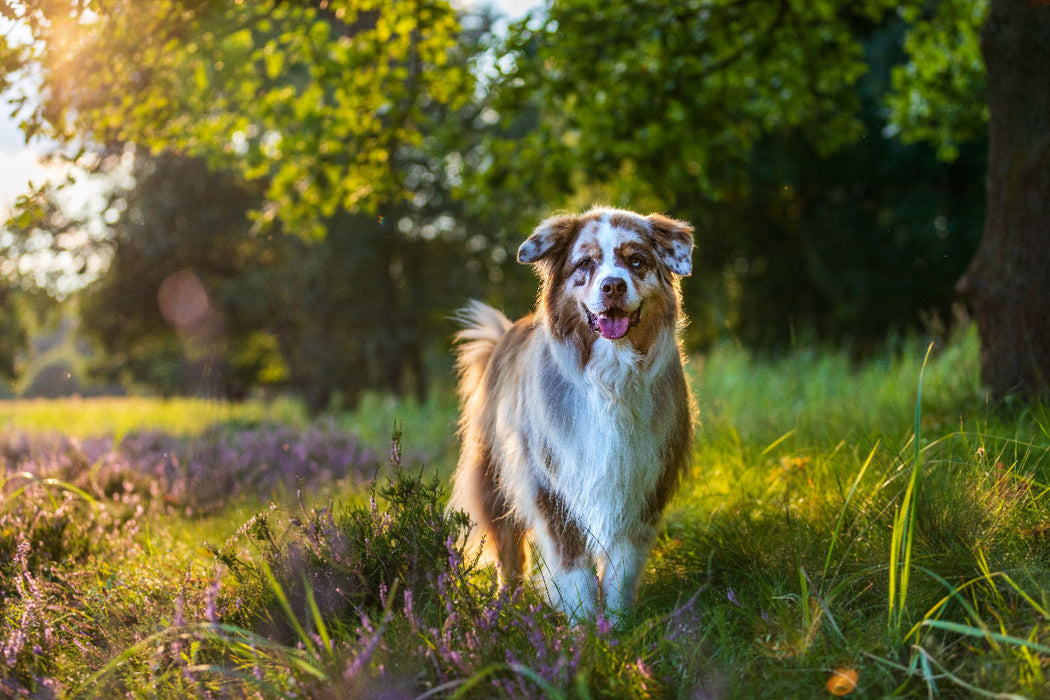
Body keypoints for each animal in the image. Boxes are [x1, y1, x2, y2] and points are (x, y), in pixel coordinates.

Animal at [447, 207, 692, 625]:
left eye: (636, 261)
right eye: (585, 264)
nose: (612, 286)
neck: (610, 380)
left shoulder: (643, 481)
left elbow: (622, 567)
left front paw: (617, 624)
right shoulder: (550, 484)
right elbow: (573, 566)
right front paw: (584, 628)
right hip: (492, 476)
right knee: (508, 551)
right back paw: (505, 606)